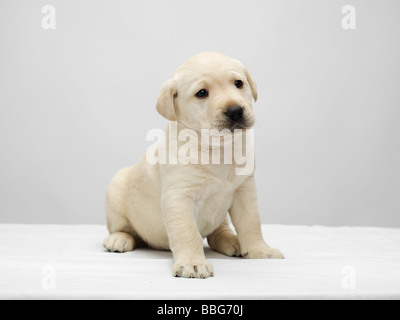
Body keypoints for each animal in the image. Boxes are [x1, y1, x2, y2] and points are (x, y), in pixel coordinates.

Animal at [103, 52, 284, 278]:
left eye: (238, 83)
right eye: (202, 93)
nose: (235, 111)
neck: (217, 149)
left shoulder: (245, 190)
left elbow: (252, 222)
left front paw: (260, 250)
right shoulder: (179, 197)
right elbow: (187, 232)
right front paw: (192, 263)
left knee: (217, 231)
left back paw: (231, 240)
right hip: (116, 188)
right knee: (127, 230)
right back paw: (119, 239)